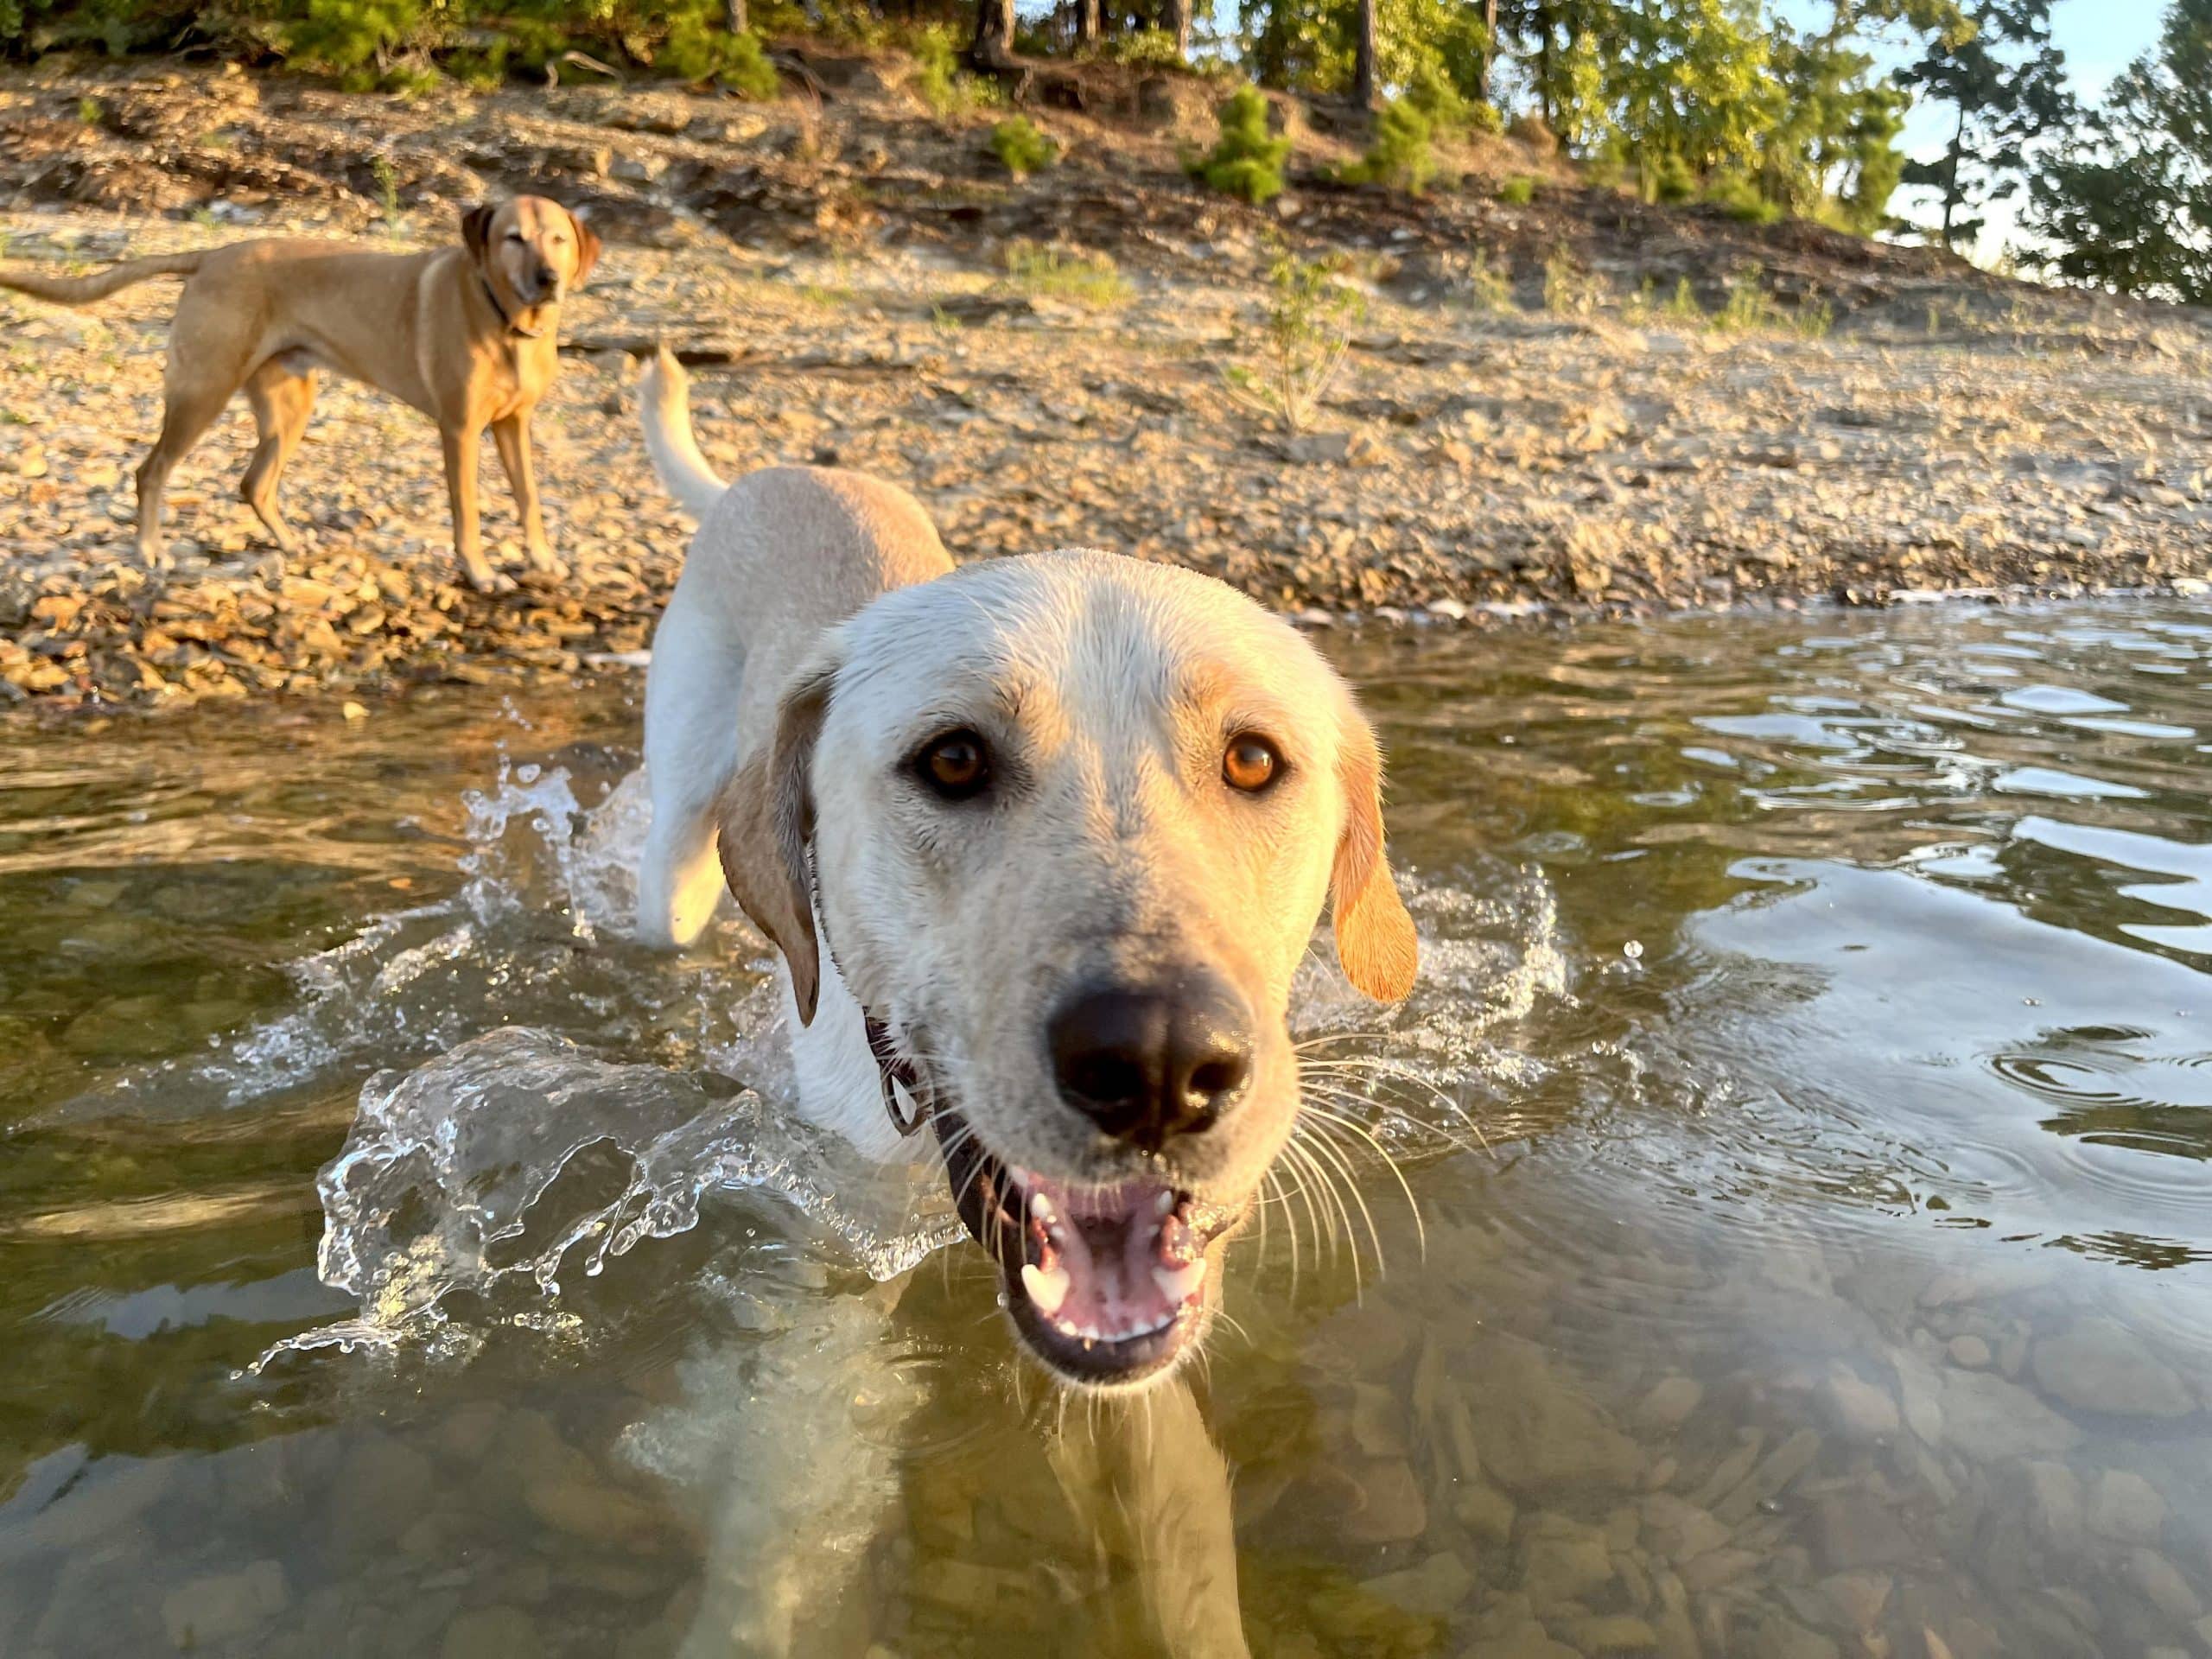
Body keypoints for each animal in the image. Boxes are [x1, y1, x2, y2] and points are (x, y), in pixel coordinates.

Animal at [0, 198, 601, 593]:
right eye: (512, 238)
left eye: (558, 239)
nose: (548, 279)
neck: (507, 320)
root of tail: (212, 254)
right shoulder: (459, 429)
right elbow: (468, 511)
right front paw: (480, 572)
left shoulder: (514, 425)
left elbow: (529, 499)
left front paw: (543, 560)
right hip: (202, 391)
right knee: (152, 471)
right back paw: (150, 551)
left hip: (290, 406)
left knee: (254, 483)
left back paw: (289, 544)